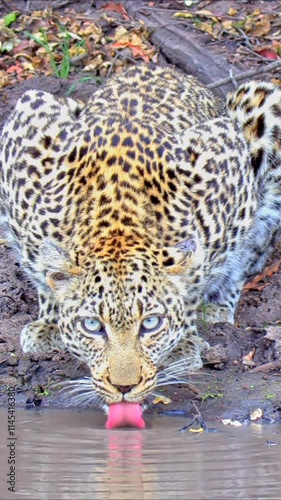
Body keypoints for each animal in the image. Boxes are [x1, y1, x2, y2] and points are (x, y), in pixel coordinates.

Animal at [0, 65, 280, 410]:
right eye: (92, 326)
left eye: (151, 324)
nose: (124, 386)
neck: (117, 225)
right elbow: (43, 274)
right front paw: (50, 321)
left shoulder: (223, 157)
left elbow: (203, 272)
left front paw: (183, 340)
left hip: (264, 103)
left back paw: (217, 308)